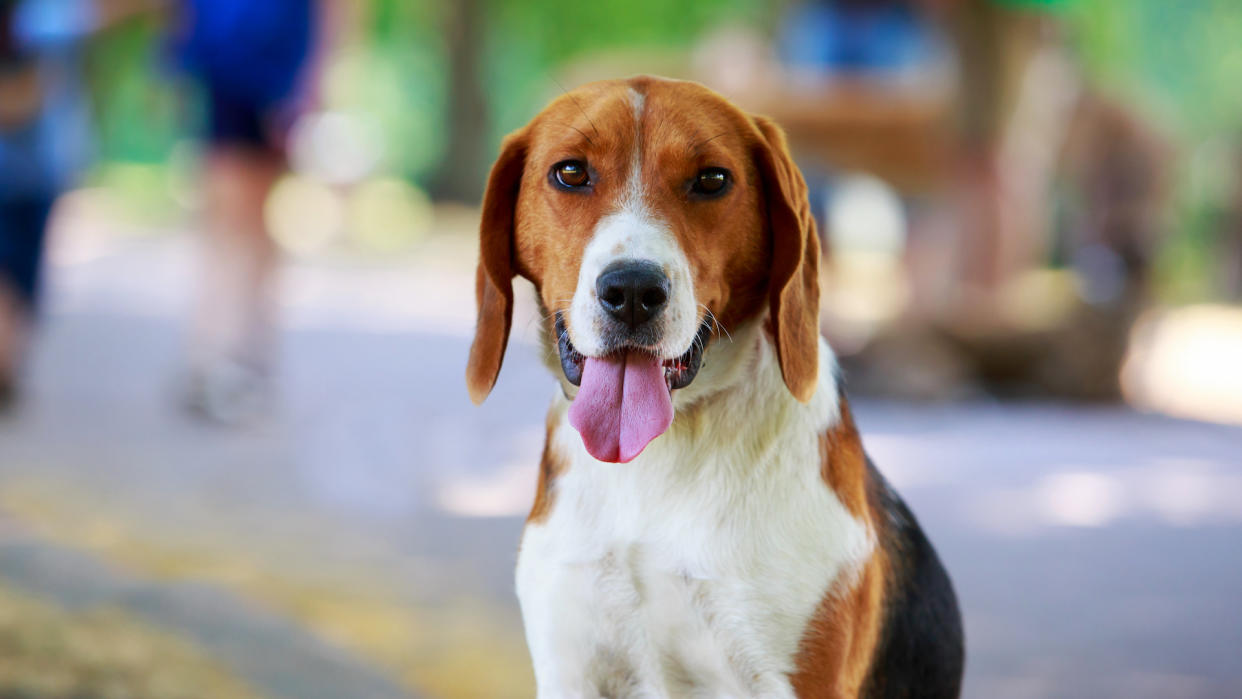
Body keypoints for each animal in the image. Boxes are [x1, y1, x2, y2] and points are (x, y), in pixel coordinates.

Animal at [469, 76, 963, 699]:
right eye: (571, 173)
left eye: (711, 180)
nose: (633, 291)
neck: (658, 456)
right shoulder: (570, 667)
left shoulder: (790, 680)